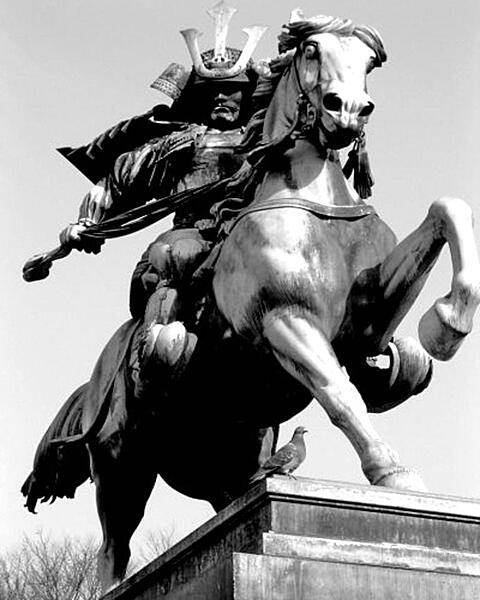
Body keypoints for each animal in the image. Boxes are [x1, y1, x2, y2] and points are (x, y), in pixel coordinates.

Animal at [24, 11, 480, 592]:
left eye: (370, 61)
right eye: (311, 49)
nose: (347, 110)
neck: (310, 201)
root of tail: (93, 383)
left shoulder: (367, 320)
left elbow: (449, 209)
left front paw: (447, 323)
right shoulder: (284, 321)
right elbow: (339, 395)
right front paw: (392, 473)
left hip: (224, 453)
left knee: (228, 497)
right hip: (121, 458)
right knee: (113, 545)